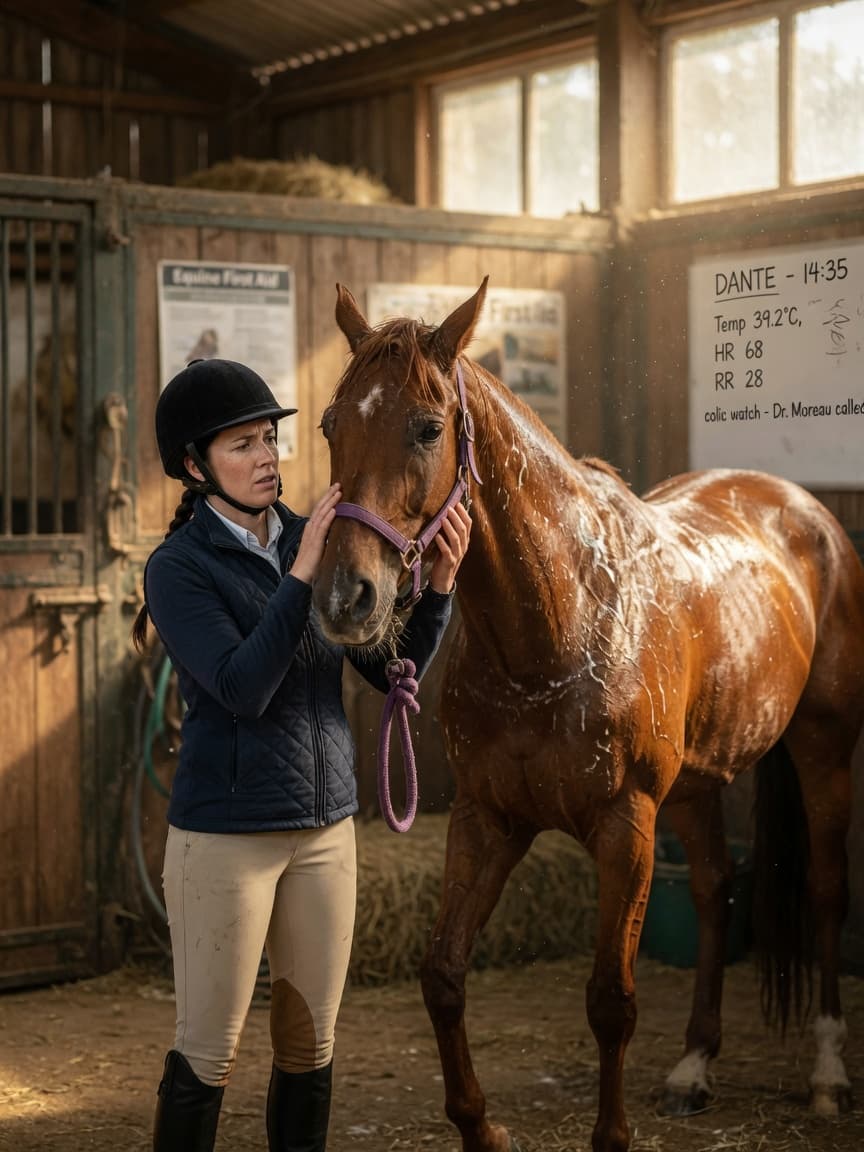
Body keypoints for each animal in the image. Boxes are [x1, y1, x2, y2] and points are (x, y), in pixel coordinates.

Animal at [312, 277, 864, 1152]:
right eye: (332, 424)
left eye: (428, 427)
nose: (344, 598)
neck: (555, 624)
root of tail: (807, 512)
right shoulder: (488, 819)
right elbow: (443, 974)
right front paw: (480, 1129)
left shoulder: (624, 825)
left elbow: (611, 998)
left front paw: (611, 1134)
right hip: (696, 785)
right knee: (714, 890)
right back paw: (694, 1066)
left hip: (825, 749)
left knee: (827, 893)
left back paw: (827, 1075)